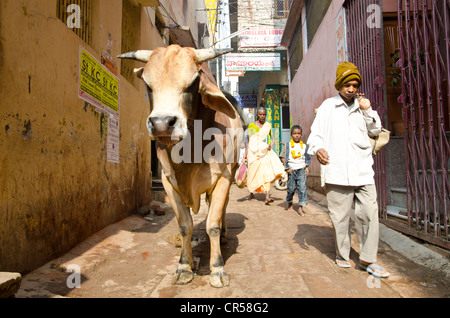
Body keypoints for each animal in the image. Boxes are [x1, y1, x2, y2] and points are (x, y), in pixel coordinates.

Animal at [117, 45, 243, 288]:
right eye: (148, 84)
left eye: (193, 82)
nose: (161, 124)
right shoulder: (168, 181)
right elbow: (185, 225)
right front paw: (185, 266)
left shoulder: (222, 177)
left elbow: (212, 224)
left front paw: (217, 268)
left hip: (231, 174)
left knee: (221, 210)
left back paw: (224, 235)